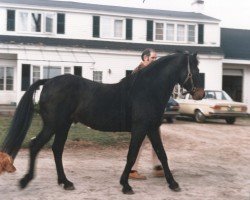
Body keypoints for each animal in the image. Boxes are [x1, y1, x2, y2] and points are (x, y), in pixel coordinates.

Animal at [0, 51, 204, 194]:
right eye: (194, 70)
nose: (200, 94)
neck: (146, 90)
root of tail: (49, 81)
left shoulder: (152, 128)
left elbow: (162, 155)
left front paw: (173, 183)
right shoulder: (140, 129)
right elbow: (132, 155)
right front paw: (126, 185)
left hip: (63, 126)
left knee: (56, 149)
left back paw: (65, 182)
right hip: (52, 125)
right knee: (35, 146)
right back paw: (25, 180)